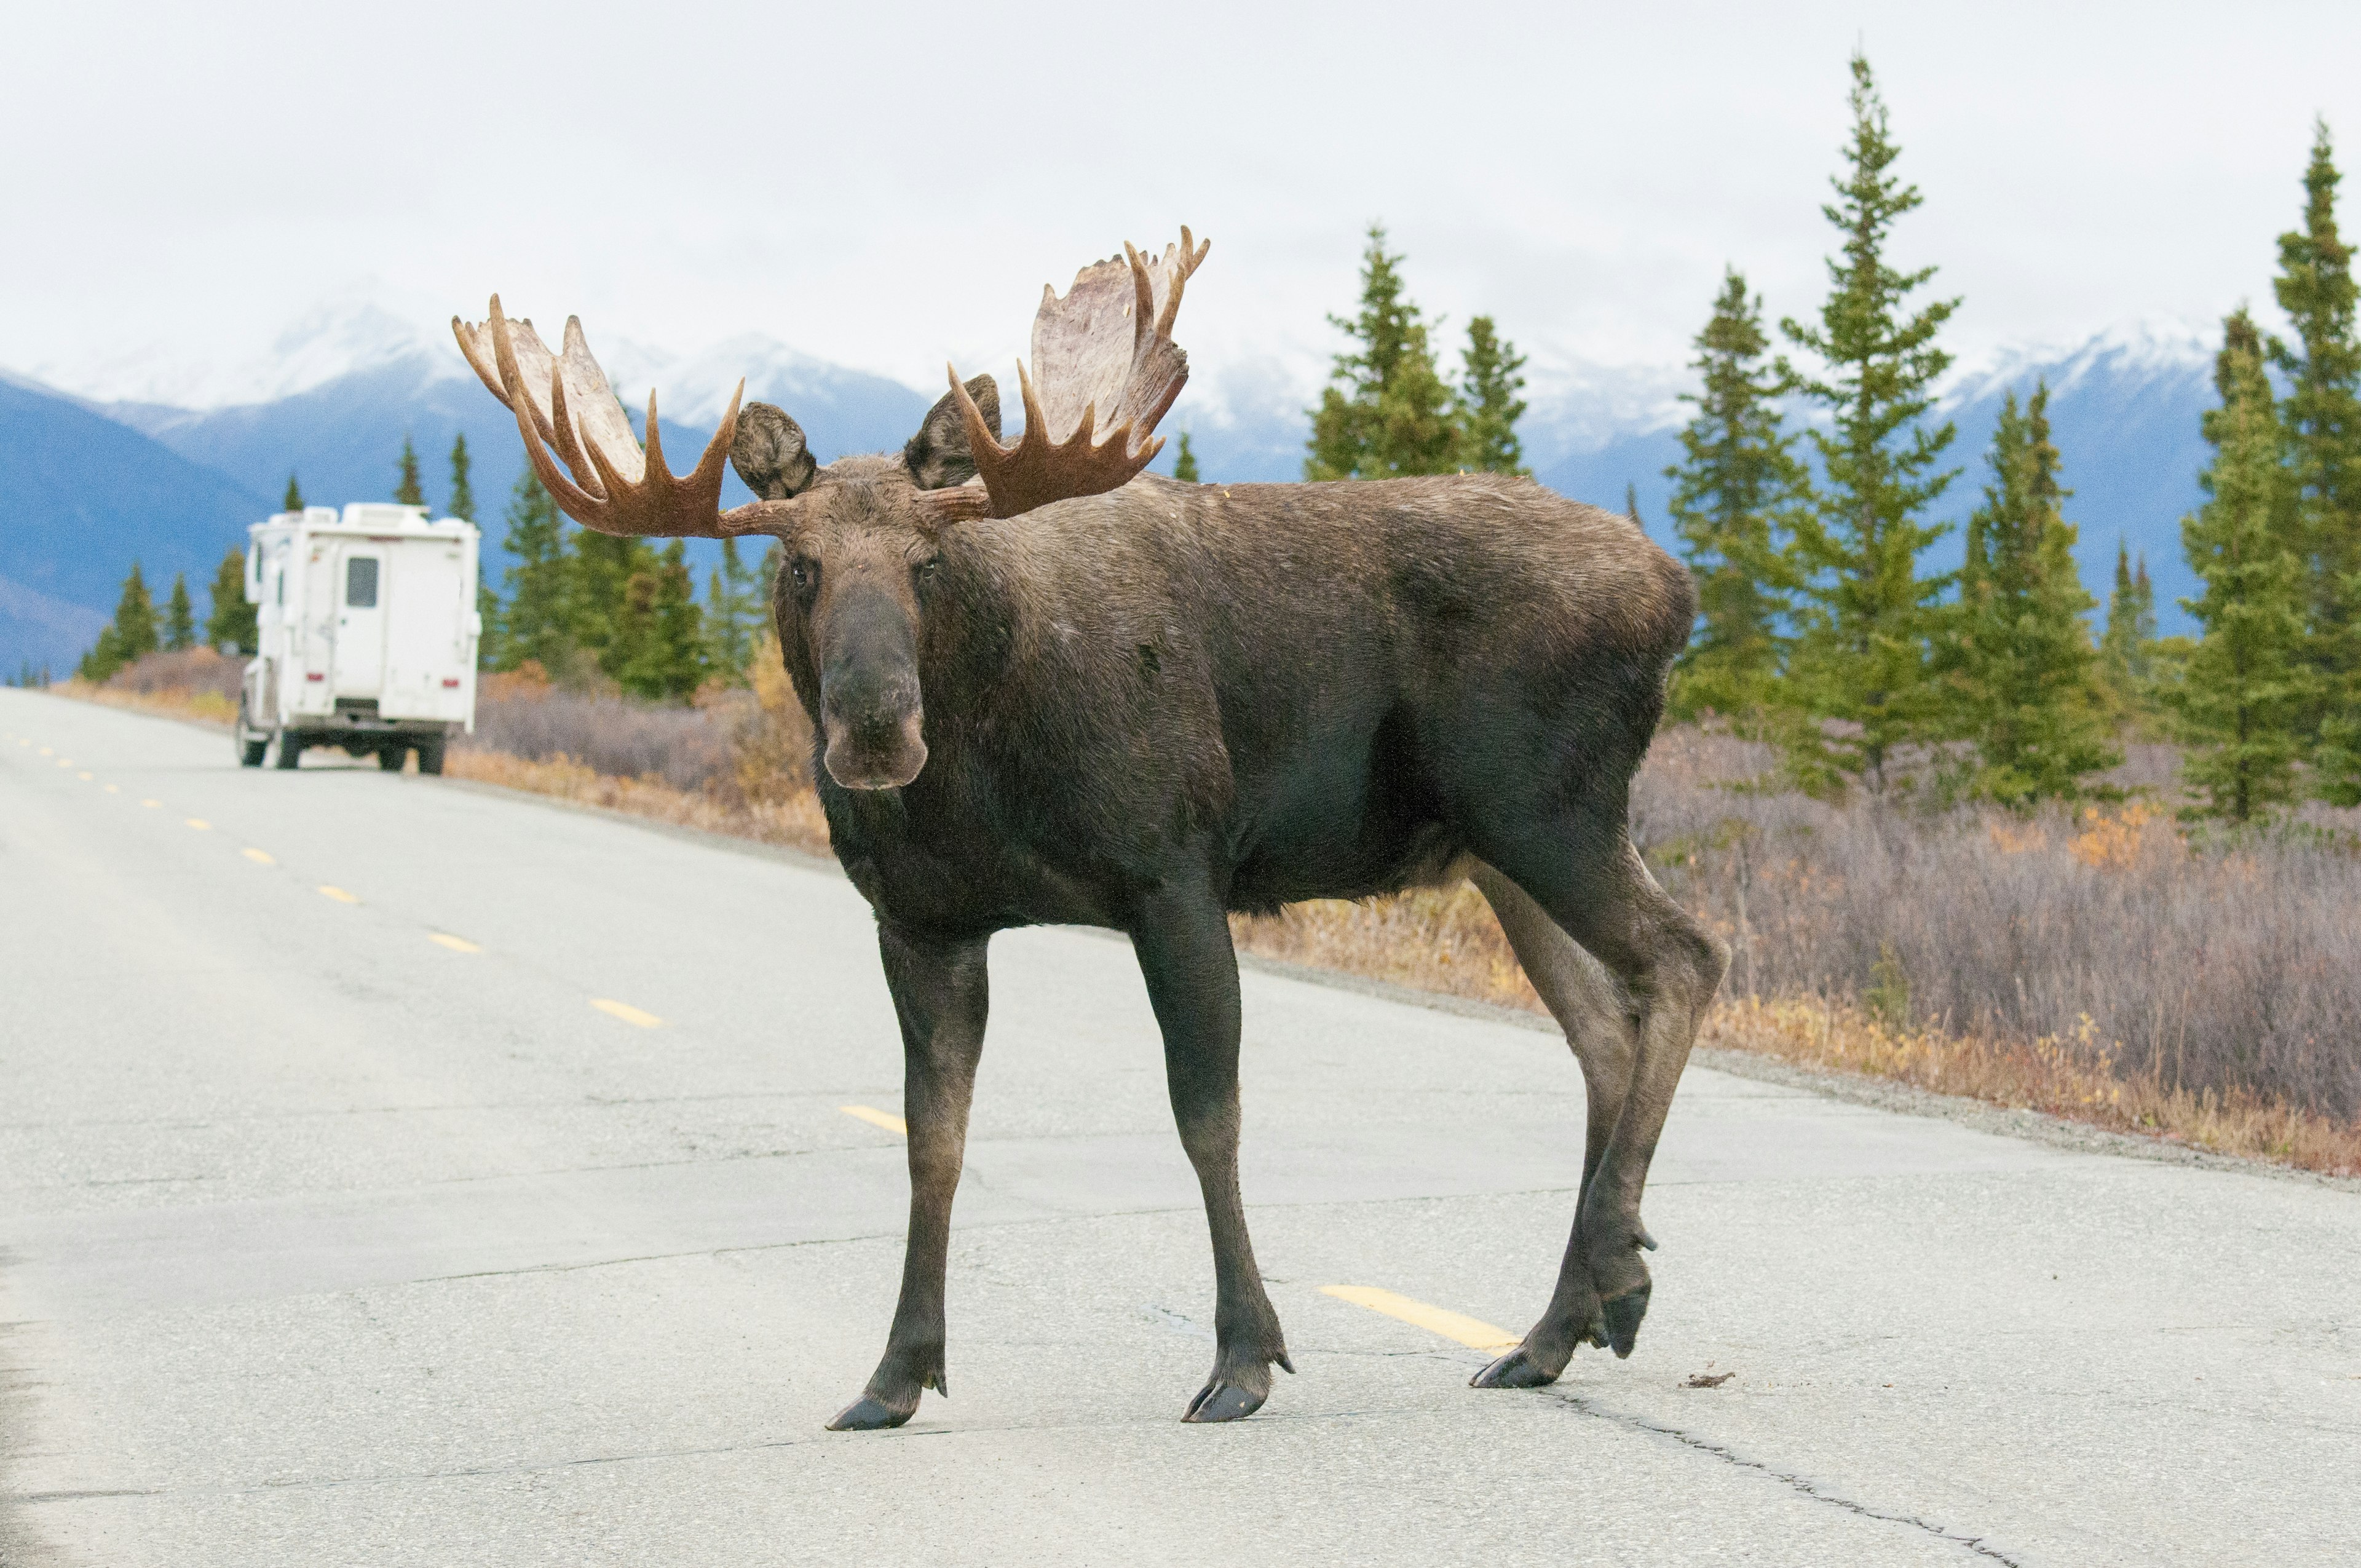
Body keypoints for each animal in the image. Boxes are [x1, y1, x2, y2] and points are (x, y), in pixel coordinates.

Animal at [451, 230, 1728, 1417]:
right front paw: (898, 1372)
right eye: (799, 565)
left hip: (1549, 811)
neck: (982, 769)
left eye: (927, 559)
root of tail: (1680, 590)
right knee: (1603, 1032)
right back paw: (1558, 1326)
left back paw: (1614, 1272)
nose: (875, 729)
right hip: (1496, 852)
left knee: (1687, 957)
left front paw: (1243, 1358)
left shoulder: (1175, 876)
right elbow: (933, 1139)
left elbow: (1207, 1117)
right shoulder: (921, 921)